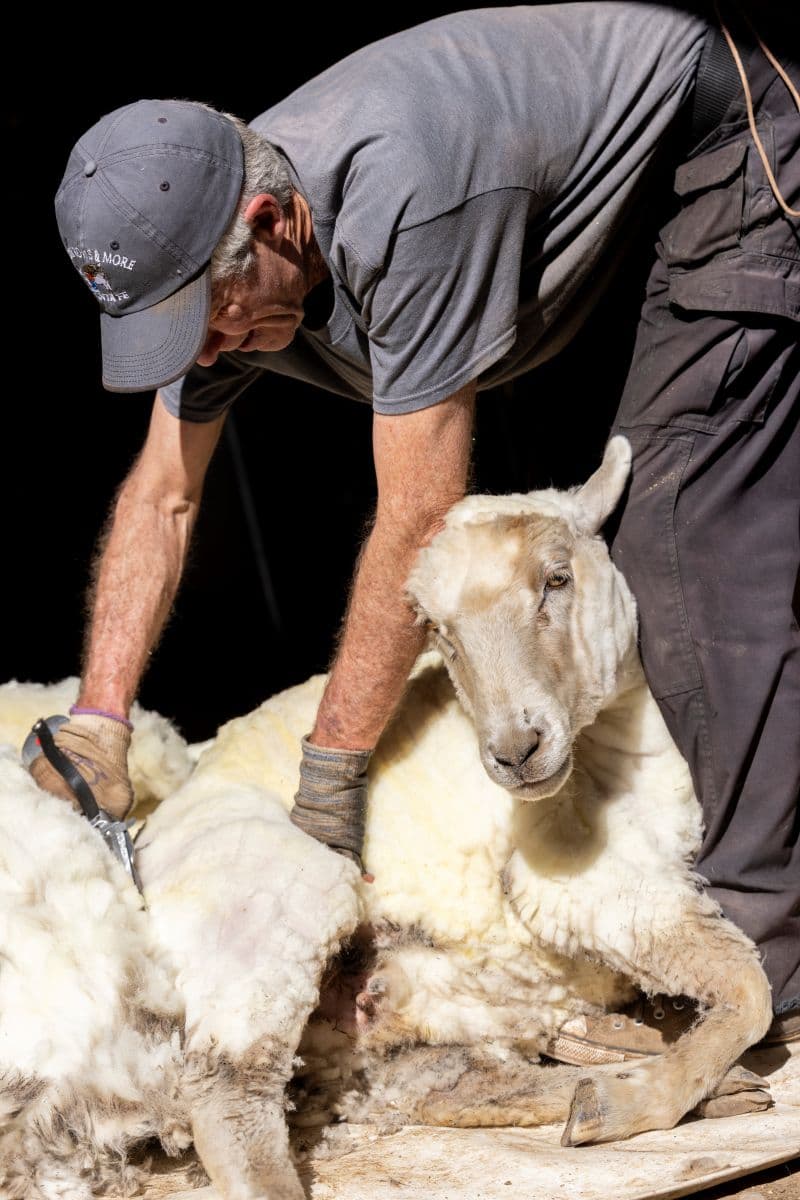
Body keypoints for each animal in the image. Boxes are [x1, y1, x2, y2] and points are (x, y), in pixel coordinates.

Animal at [0, 437, 773, 1199]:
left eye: (558, 579)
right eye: (439, 631)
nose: (514, 752)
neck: (613, 756)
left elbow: (741, 986)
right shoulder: (583, 884)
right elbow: (750, 988)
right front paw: (637, 1099)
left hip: (402, 1033)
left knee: (459, 1085)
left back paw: (648, 1074)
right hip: (271, 901)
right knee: (227, 1092)